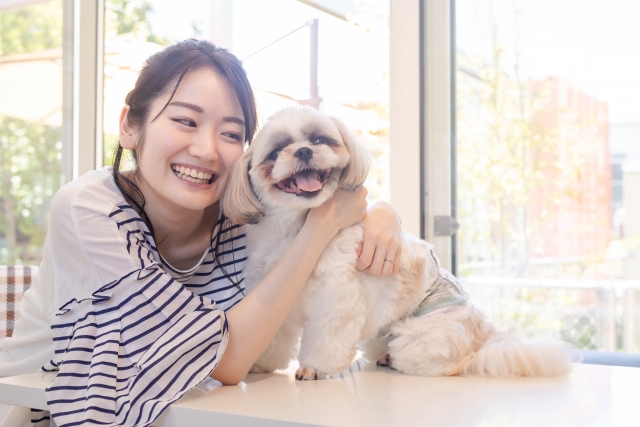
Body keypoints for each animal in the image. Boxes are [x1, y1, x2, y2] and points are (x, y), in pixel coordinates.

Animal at [222, 107, 572, 382]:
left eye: (320, 140)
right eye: (276, 151)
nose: (304, 151)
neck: (295, 231)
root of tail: (484, 336)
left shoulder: (335, 298)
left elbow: (326, 337)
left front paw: (313, 368)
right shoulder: (271, 291)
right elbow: (272, 335)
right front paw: (260, 364)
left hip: (422, 339)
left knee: (449, 363)